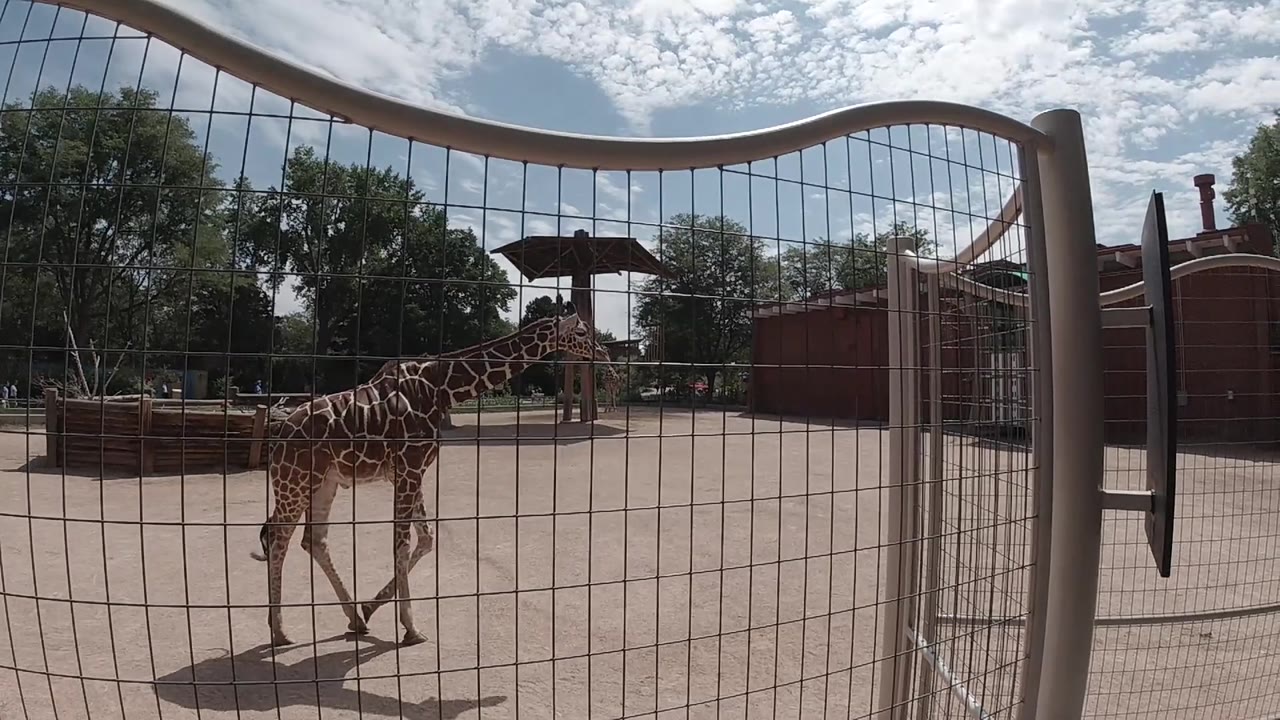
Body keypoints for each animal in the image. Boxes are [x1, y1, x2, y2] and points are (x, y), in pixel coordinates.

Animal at [249, 304, 610, 647]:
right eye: (581, 331)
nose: (604, 352)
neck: (442, 388)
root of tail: (280, 433)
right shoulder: (409, 466)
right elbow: (402, 543)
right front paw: (411, 628)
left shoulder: (411, 469)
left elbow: (426, 539)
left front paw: (371, 607)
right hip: (294, 481)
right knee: (278, 538)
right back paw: (280, 631)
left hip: (324, 482)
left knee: (313, 539)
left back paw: (355, 619)